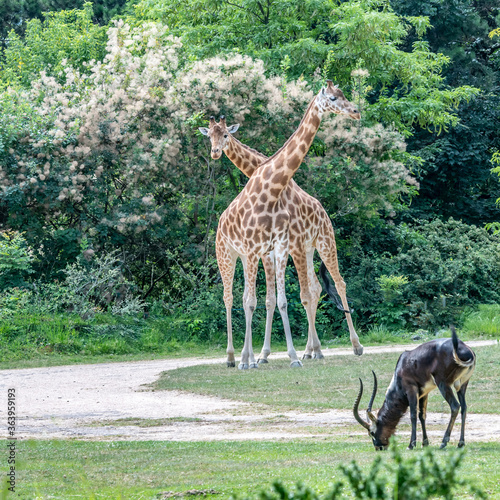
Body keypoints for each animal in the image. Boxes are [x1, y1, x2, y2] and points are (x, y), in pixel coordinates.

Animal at [201, 82, 362, 370]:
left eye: (226, 136)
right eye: (210, 137)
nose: (356, 112)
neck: (273, 187)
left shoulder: (282, 246)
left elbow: (285, 299)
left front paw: (290, 355)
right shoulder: (263, 251)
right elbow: (262, 300)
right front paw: (257, 357)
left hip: (322, 243)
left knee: (334, 284)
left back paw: (350, 346)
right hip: (231, 254)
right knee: (232, 297)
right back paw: (235, 357)